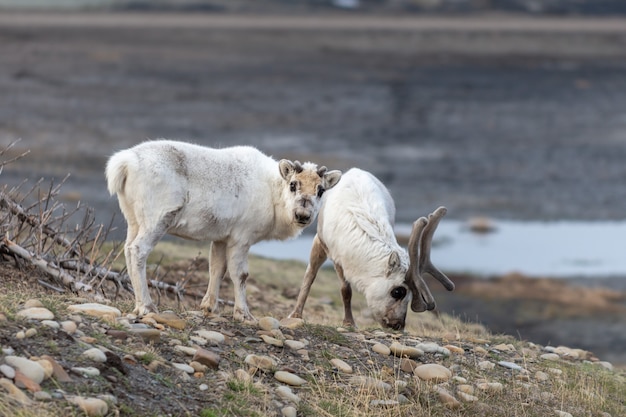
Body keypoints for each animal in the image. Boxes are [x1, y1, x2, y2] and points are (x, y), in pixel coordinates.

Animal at [107, 140, 342, 318]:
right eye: (293, 184)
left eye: (321, 190)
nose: (302, 215)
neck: (272, 193)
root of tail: (124, 163)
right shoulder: (242, 238)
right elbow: (241, 274)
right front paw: (244, 313)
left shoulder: (221, 238)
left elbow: (217, 269)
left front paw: (209, 306)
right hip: (158, 219)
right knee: (138, 250)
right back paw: (147, 306)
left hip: (134, 220)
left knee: (127, 248)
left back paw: (138, 303)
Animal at [288, 167, 454, 330]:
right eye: (398, 291)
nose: (398, 325)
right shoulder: (332, 252)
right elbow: (342, 289)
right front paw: (348, 322)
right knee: (311, 274)